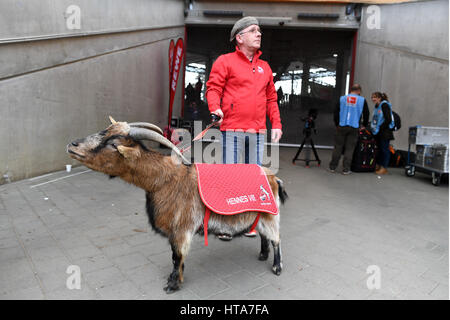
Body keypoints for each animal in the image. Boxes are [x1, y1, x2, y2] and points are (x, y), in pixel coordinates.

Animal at [68, 117, 286, 292]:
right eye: (104, 131)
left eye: (113, 144)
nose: (72, 144)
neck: (166, 179)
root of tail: (273, 178)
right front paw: (174, 280)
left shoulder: (181, 227)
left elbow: (177, 257)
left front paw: (173, 284)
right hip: (260, 213)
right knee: (264, 235)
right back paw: (262, 254)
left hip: (270, 213)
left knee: (275, 238)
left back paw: (277, 267)